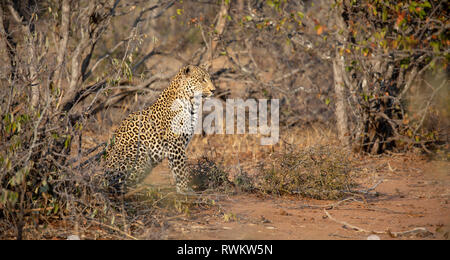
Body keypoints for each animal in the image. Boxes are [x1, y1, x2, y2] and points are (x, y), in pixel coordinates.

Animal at [105, 64, 216, 195]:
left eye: (209, 78)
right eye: (202, 80)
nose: (213, 90)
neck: (192, 102)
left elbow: (175, 168)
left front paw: (179, 187)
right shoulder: (175, 143)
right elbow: (181, 168)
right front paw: (184, 189)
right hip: (139, 151)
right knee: (120, 184)